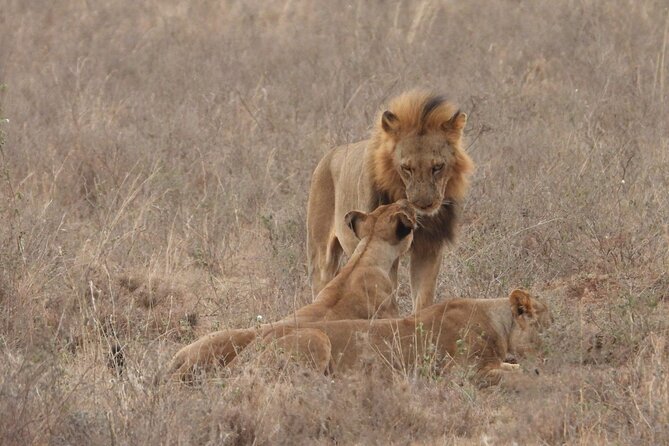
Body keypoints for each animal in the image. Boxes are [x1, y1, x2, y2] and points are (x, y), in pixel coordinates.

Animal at [237, 290, 552, 386]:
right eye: (545, 327)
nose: (550, 357)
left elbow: (516, 368)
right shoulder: (463, 373)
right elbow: (518, 376)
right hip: (317, 337)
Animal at [306, 88, 472, 310]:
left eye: (437, 167)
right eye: (406, 168)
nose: (423, 204)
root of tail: (330, 154)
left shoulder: (429, 248)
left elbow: (423, 298)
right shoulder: (383, 245)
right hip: (321, 256)